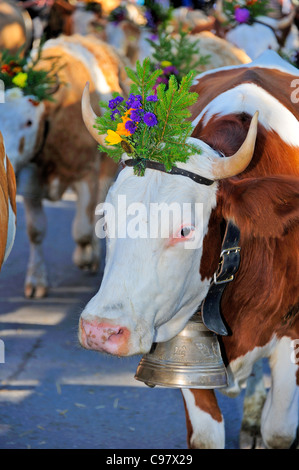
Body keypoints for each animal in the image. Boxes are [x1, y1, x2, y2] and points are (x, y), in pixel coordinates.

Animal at [0, 34, 129, 298]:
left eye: (29, 121)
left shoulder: (85, 173)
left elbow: (82, 228)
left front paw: (85, 257)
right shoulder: (30, 181)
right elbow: (36, 231)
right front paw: (37, 279)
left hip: (106, 169)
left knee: (97, 210)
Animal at [79, 50, 299, 448]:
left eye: (184, 230)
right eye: (106, 218)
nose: (101, 331)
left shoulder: (293, 337)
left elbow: (278, 431)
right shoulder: (184, 346)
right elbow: (206, 437)